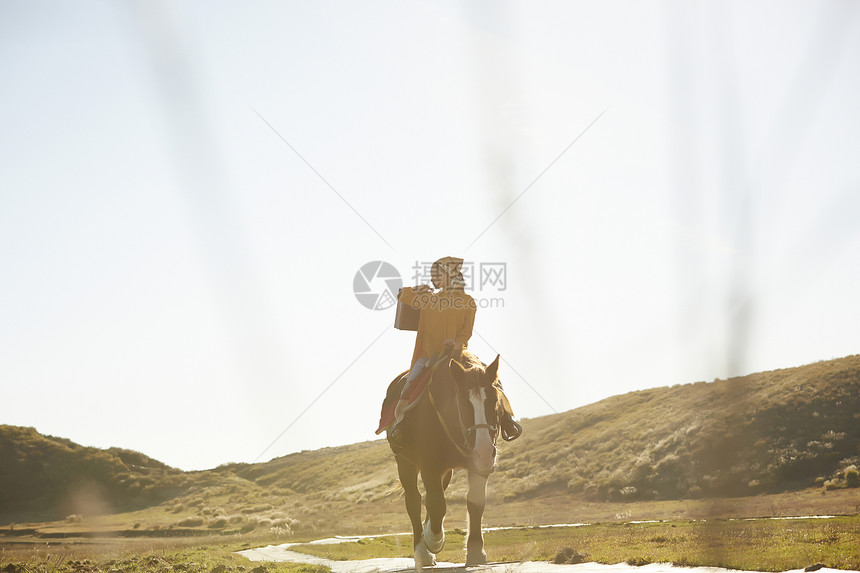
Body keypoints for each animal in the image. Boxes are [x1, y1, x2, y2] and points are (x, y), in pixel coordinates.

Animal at [386, 348, 508, 568]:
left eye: (495, 402)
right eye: (463, 403)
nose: (485, 451)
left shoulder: (476, 466)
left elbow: (475, 504)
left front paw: (476, 551)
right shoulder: (429, 465)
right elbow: (436, 505)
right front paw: (433, 541)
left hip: (447, 471)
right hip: (405, 464)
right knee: (415, 501)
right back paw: (422, 552)